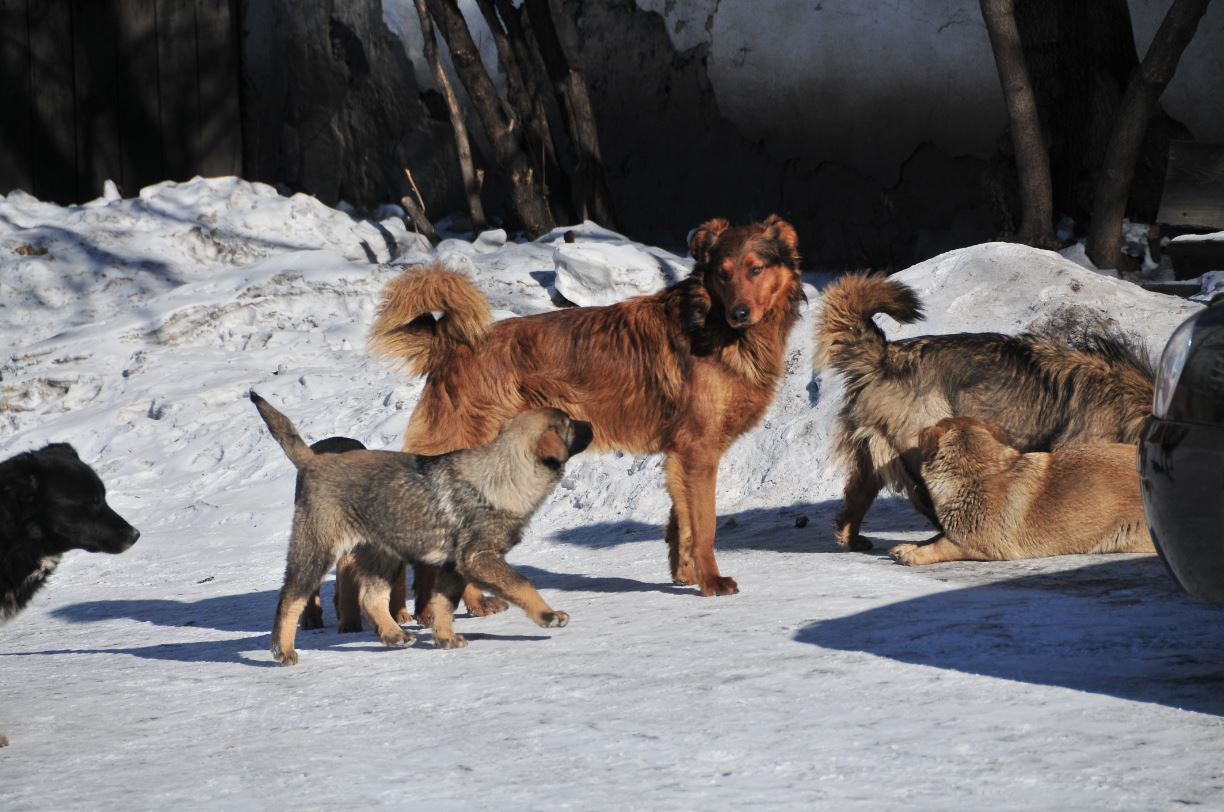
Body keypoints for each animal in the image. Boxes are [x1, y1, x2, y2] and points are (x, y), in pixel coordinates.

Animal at [249, 394, 592, 666]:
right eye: (570, 424)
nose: (591, 423)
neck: (503, 473)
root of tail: (313, 462)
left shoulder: (453, 566)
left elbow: (443, 603)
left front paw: (444, 637)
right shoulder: (479, 558)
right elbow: (521, 584)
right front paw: (548, 615)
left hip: (382, 553)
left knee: (371, 597)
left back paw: (394, 634)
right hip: (318, 550)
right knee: (291, 598)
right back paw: (283, 650)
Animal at [340, 214, 802, 622]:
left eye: (755, 269)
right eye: (722, 275)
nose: (739, 313)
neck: (712, 322)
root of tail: (452, 347)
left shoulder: (682, 455)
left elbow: (681, 524)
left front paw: (686, 574)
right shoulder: (697, 451)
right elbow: (703, 525)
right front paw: (711, 580)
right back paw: (451, 607)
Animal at [891, 418, 1155, 565]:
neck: (977, 471)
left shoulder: (979, 543)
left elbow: (943, 544)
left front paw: (917, 555)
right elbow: (936, 536)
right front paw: (911, 546)